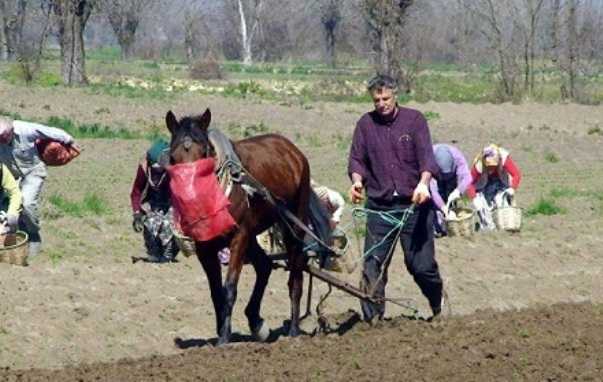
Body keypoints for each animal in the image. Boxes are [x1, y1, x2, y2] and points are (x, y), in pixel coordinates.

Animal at [168, 109, 332, 344]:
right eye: (173, 157)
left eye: (205, 155)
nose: (189, 196)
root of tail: (293, 151)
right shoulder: (205, 248)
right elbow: (216, 292)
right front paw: (221, 330)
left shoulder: (239, 237)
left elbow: (229, 288)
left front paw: (224, 338)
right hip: (254, 233)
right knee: (264, 265)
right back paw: (256, 322)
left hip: (292, 225)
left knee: (296, 275)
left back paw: (293, 331)